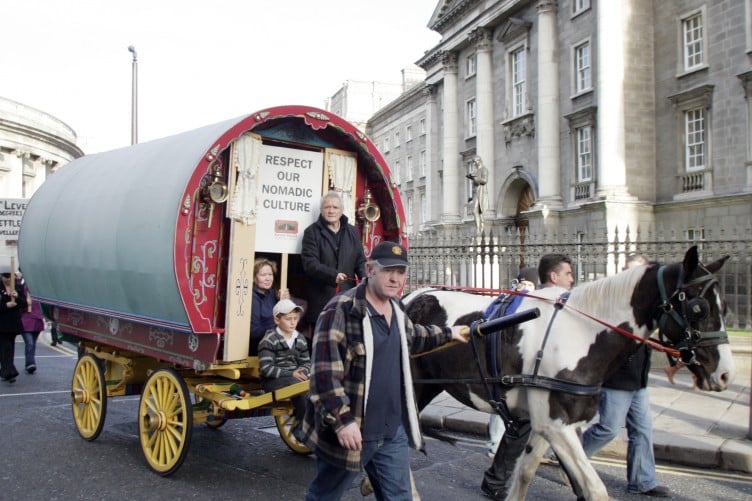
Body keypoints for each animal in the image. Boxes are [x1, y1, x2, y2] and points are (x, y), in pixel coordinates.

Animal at [406, 247, 736, 500]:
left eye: (725, 308)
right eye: (699, 308)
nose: (724, 375)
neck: (581, 333)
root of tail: (412, 296)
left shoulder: (549, 422)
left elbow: (526, 472)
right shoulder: (557, 425)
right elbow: (596, 489)